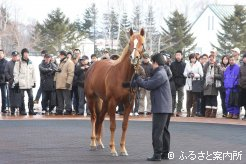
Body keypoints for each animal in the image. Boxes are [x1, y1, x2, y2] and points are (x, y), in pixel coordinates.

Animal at [85, 28, 144, 156]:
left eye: (142, 43)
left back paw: (99, 142)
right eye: (130, 43)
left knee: (100, 118)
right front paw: (113, 149)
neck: (122, 76)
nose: (134, 58)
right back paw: (93, 143)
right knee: (94, 118)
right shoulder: (113, 103)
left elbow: (124, 126)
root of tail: (93, 65)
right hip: (91, 98)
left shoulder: (129, 103)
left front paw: (123, 149)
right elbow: (113, 126)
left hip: (104, 101)